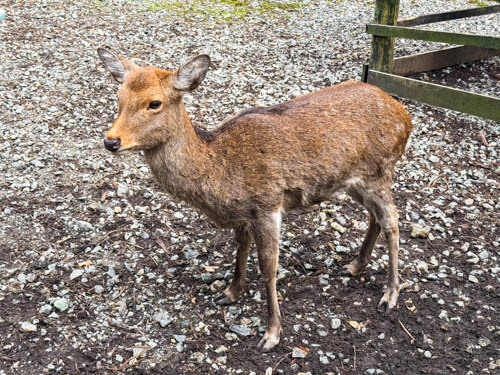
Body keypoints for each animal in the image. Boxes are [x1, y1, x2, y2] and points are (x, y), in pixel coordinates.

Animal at [96, 49, 410, 352]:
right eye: (118, 98)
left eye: (154, 103)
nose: (111, 141)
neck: (221, 171)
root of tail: (405, 116)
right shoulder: (242, 214)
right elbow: (241, 249)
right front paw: (230, 293)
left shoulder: (267, 205)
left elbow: (268, 267)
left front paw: (272, 334)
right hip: (353, 180)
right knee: (375, 216)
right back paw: (356, 265)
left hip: (380, 169)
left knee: (393, 220)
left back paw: (390, 294)